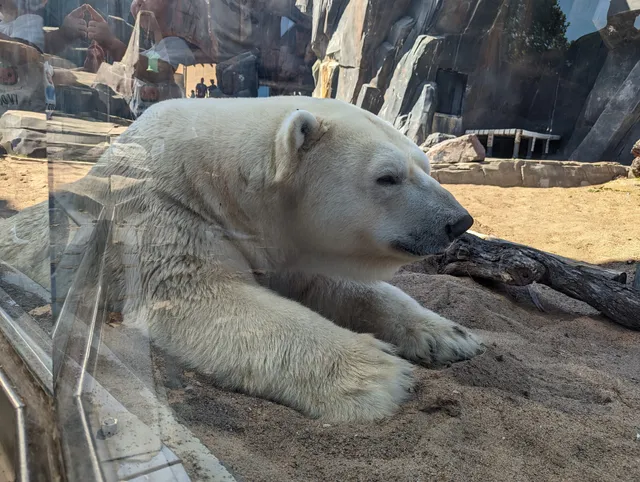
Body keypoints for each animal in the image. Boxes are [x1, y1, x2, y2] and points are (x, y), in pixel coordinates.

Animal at [1, 96, 483, 421]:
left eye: (426, 165)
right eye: (387, 177)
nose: (458, 221)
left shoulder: (286, 244)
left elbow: (336, 285)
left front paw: (451, 335)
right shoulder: (163, 215)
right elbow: (206, 300)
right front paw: (380, 372)